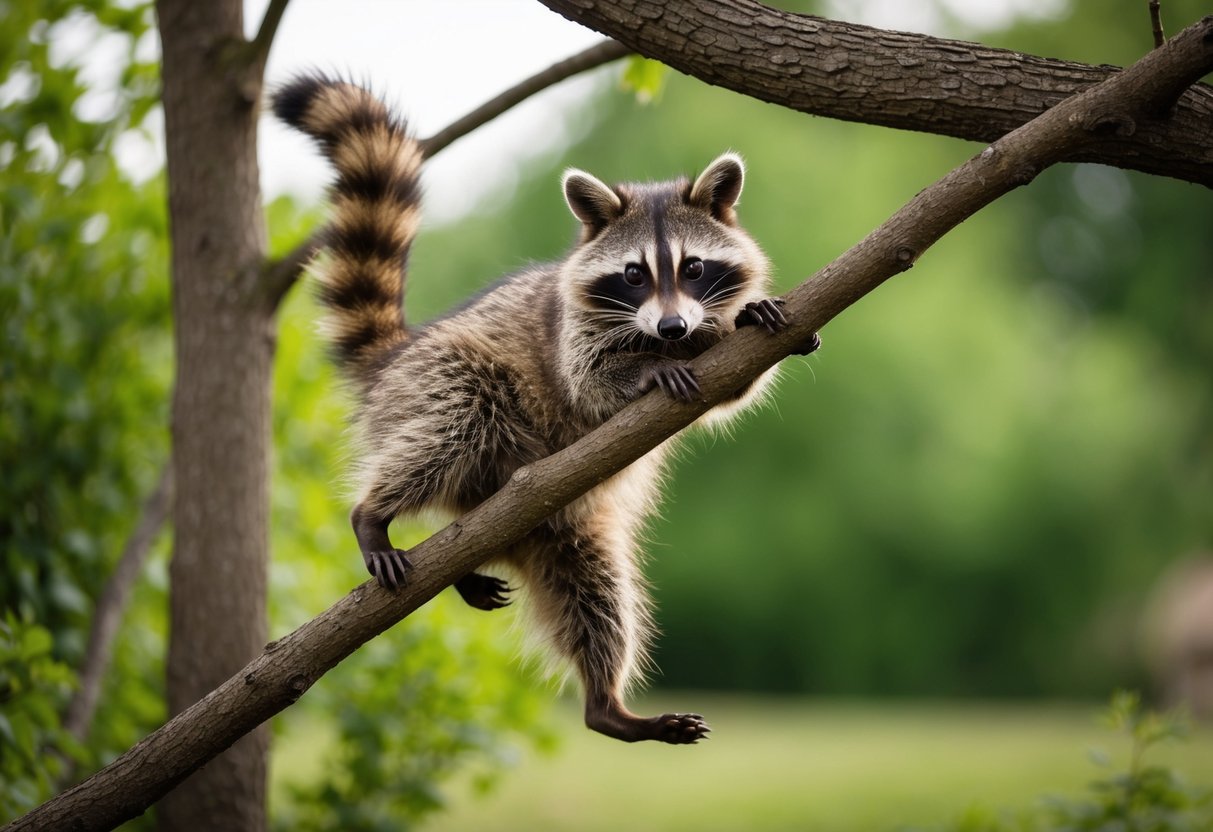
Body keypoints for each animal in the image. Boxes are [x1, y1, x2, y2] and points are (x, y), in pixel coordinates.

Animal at [272, 75, 818, 744]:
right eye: (633, 274)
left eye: (693, 267)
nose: (671, 327)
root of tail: (398, 356)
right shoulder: (567, 331)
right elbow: (584, 381)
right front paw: (645, 368)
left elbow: (732, 385)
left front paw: (749, 319)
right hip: (438, 377)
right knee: (451, 423)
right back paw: (373, 513)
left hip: (568, 536)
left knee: (598, 597)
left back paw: (606, 705)